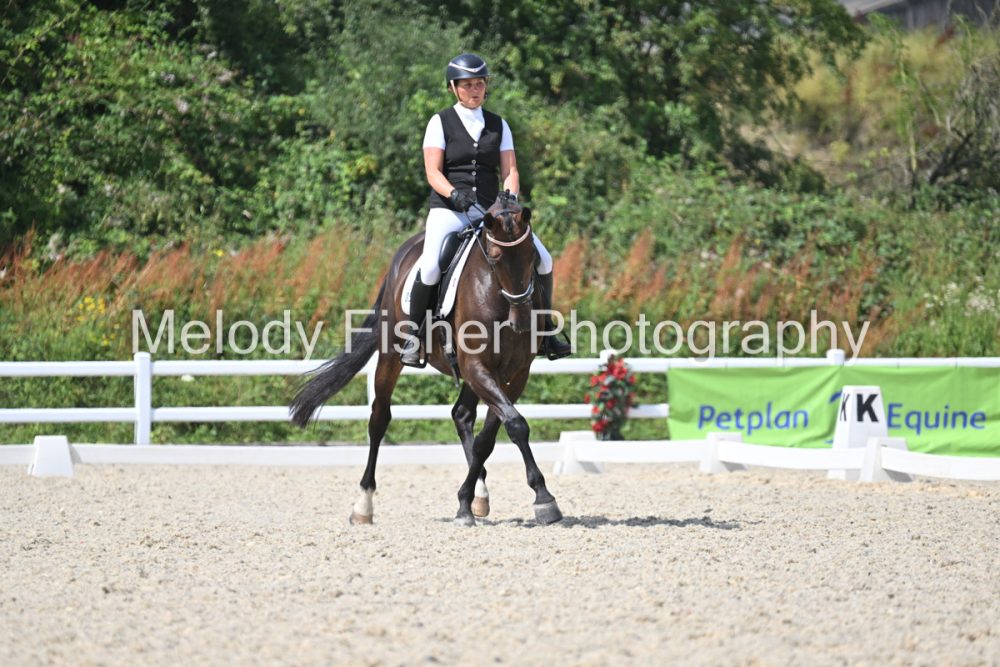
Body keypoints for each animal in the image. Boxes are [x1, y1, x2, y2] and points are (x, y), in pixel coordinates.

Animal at [289, 194, 563, 527]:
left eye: (531, 256)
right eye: (495, 258)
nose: (521, 321)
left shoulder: (515, 373)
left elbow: (491, 435)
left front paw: (468, 501)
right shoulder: (477, 366)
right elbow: (515, 424)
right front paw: (544, 498)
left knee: (461, 415)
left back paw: (478, 496)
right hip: (391, 356)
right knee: (379, 419)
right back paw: (363, 506)